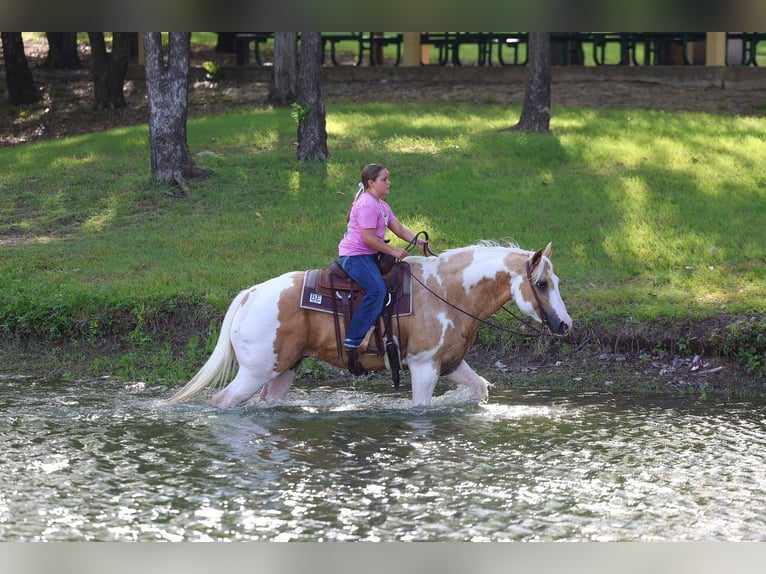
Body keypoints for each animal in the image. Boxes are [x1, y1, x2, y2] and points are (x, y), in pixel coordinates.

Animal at [167, 241, 572, 408]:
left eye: (556, 281)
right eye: (541, 284)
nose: (566, 325)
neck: (447, 292)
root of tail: (250, 295)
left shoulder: (450, 362)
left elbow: (479, 389)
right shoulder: (424, 366)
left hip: (283, 370)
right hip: (255, 371)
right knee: (223, 400)